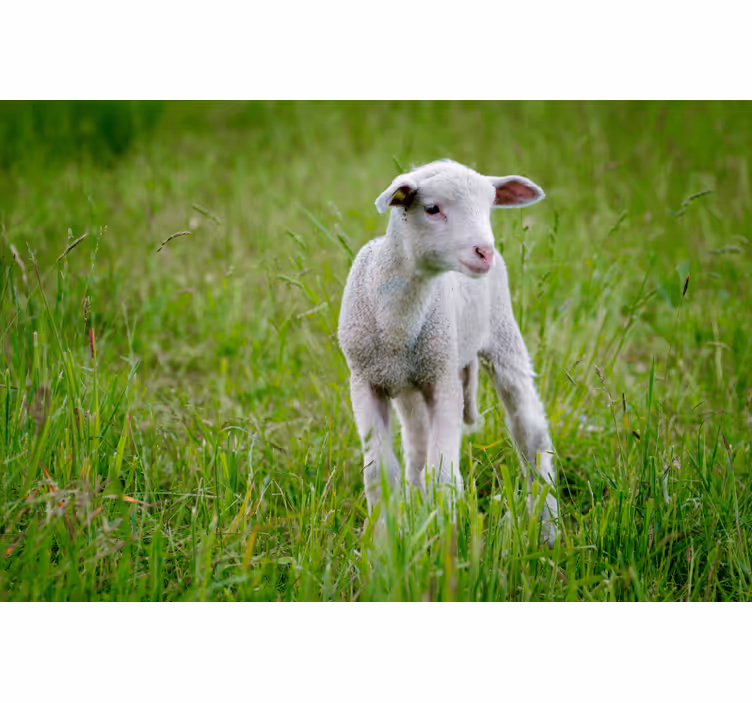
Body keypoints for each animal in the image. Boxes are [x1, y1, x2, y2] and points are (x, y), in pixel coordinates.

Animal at [337, 159, 558, 544]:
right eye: (432, 209)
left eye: (489, 207)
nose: (485, 251)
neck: (397, 325)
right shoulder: (365, 381)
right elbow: (380, 474)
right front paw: (383, 544)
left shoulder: (443, 381)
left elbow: (442, 475)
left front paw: (445, 539)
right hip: (413, 385)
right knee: (416, 449)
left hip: (501, 334)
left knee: (531, 435)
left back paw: (547, 529)